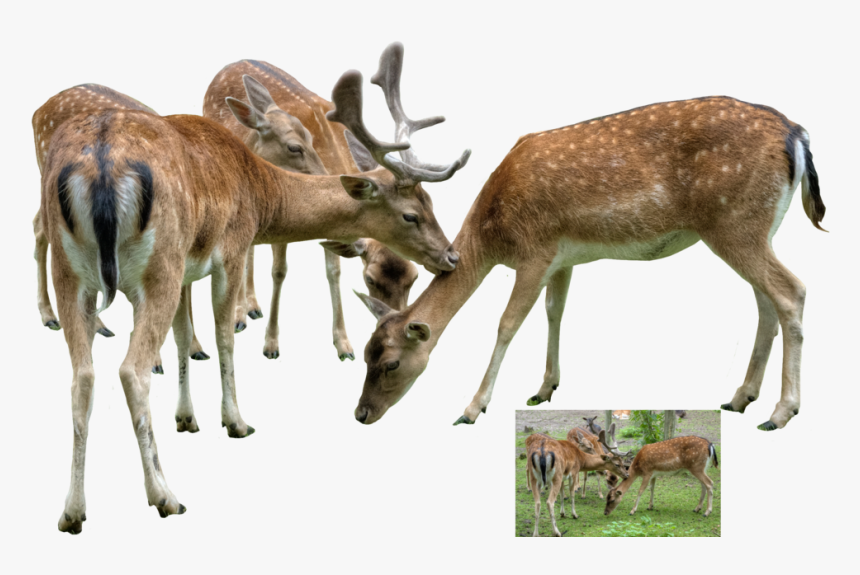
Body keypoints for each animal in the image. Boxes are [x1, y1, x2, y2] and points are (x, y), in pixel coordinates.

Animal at [200, 53, 421, 360]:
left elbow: (334, 270)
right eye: (370, 279)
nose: (398, 326)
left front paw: (344, 344)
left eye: (414, 278)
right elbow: (279, 271)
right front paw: (271, 344)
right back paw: (241, 314)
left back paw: (252, 306)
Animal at [352, 95, 824, 431]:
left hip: (734, 222)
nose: (361, 414)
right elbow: (554, 311)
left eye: (390, 363)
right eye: (365, 355)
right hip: (757, 227)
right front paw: (544, 388)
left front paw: (471, 408)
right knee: (765, 301)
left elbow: (507, 323)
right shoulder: (563, 258)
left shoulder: (535, 250)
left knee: (792, 290)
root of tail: (798, 135)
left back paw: (781, 412)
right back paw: (740, 397)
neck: (493, 235)